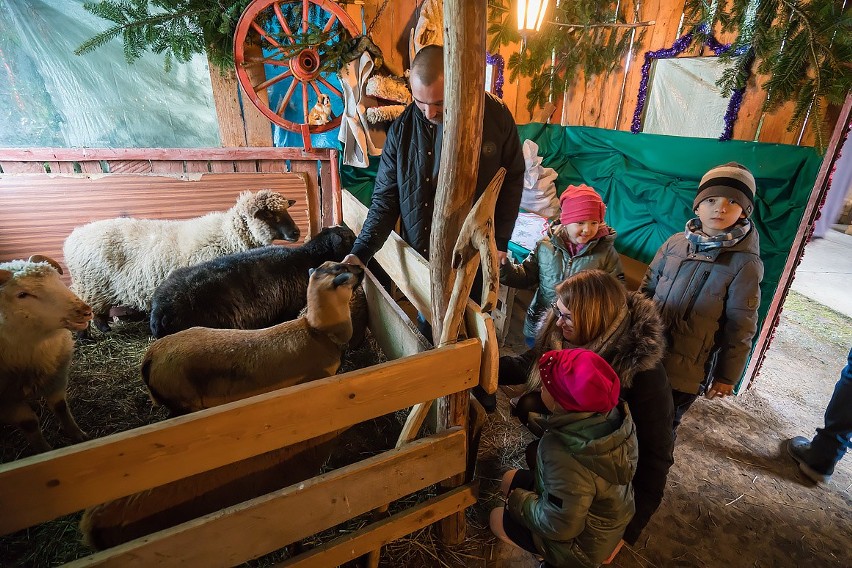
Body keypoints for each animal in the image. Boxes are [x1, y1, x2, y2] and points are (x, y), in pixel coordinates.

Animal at [0, 255, 92, 450]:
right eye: (22, 295)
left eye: (57, 279)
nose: (86, 311)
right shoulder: (7, 401)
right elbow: (30, 423)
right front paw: (44, 450)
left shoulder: (56, 378)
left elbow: (60, 406)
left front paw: (78, 435)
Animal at [60, 191, 300, 332]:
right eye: (269, 215)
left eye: (286, 210)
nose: (296, 233)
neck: (227, 234)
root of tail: (73, 237)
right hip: (92, 284)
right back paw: (94, 332)